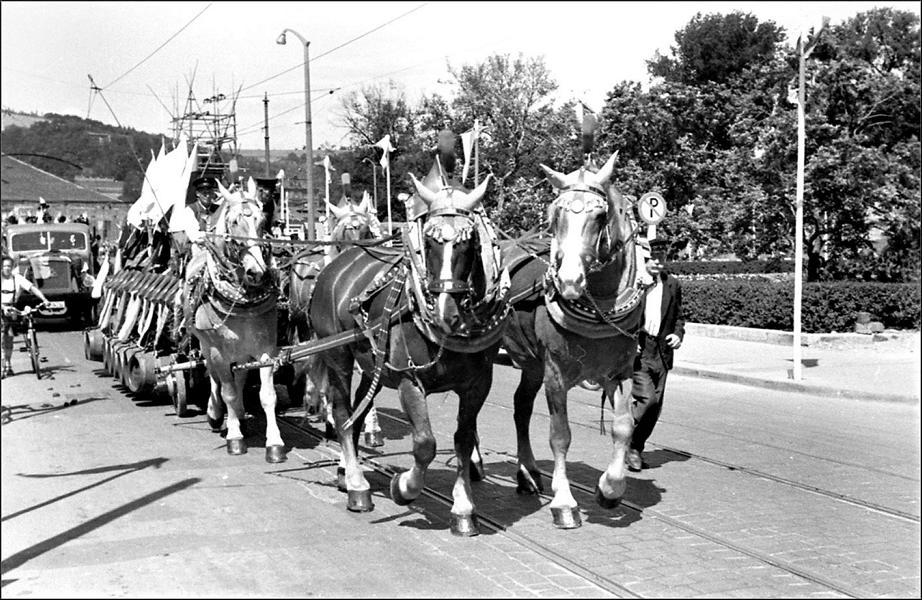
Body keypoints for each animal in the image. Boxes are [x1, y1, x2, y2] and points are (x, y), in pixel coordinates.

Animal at [178, 178, 282, 464]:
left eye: (262, 219)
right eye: (235, 221)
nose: (257, 272)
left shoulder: (266, 349)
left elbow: (267, 395)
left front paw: (275, 443)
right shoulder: (217, 351)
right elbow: (227, 391)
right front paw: (234, 437)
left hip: (242, 351)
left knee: (240, 378)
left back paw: (239, 414)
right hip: (206, 345)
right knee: (216, 378)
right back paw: (217, 414)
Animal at [310, 148, 510, 536]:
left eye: (469, 243)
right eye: (428, 243)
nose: (447, 312)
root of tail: (336, 267)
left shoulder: (479, 383)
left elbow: (462, 440)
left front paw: (464, 509)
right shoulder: (407, 379)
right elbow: (424, 443)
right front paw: (403, 488)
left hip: (372, 364)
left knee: (357, 411)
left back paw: (348, 472)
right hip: (337, 354)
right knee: (342, 412)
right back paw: (356, 485)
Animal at [500, 150, 644, 528]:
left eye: (600, 215)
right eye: (555, 216)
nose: (568, 281)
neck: (600, 306)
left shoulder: (618, 372)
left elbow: (623, 427)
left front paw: (610, 489)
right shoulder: (555, 372)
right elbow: (560, 435)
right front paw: (564, 502)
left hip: (530, 364)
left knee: (520, 406)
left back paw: (527, 473)